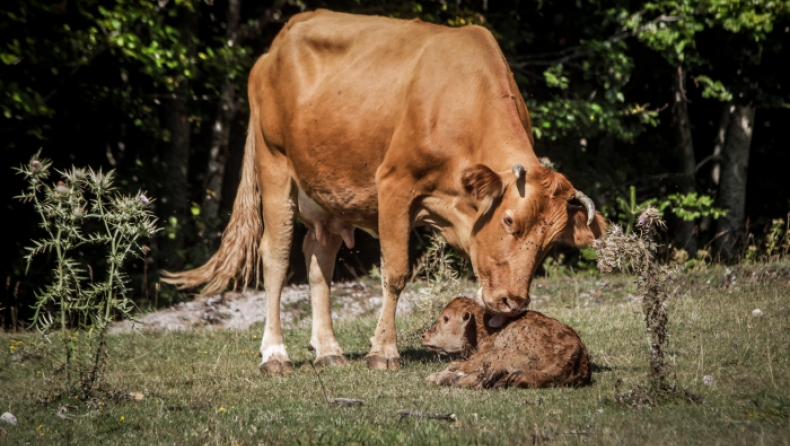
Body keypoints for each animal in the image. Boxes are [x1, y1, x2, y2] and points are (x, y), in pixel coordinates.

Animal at [162, 10, 608, 372]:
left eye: (551, 242)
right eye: (510, 220)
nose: (513, 302)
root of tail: (279, 41)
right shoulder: (394, 184)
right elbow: (395, 273)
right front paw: (383, 352)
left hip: (329, 190)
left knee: (318, 258)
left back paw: (329, 350)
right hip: (274, 164)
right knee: (275, 256)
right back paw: (275, 354)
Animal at [424, 298, 592, 388]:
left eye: (446, 318)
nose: (424, 336)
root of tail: (576, 354)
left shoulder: (481, 358)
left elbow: (458, 366)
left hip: (498, 356)